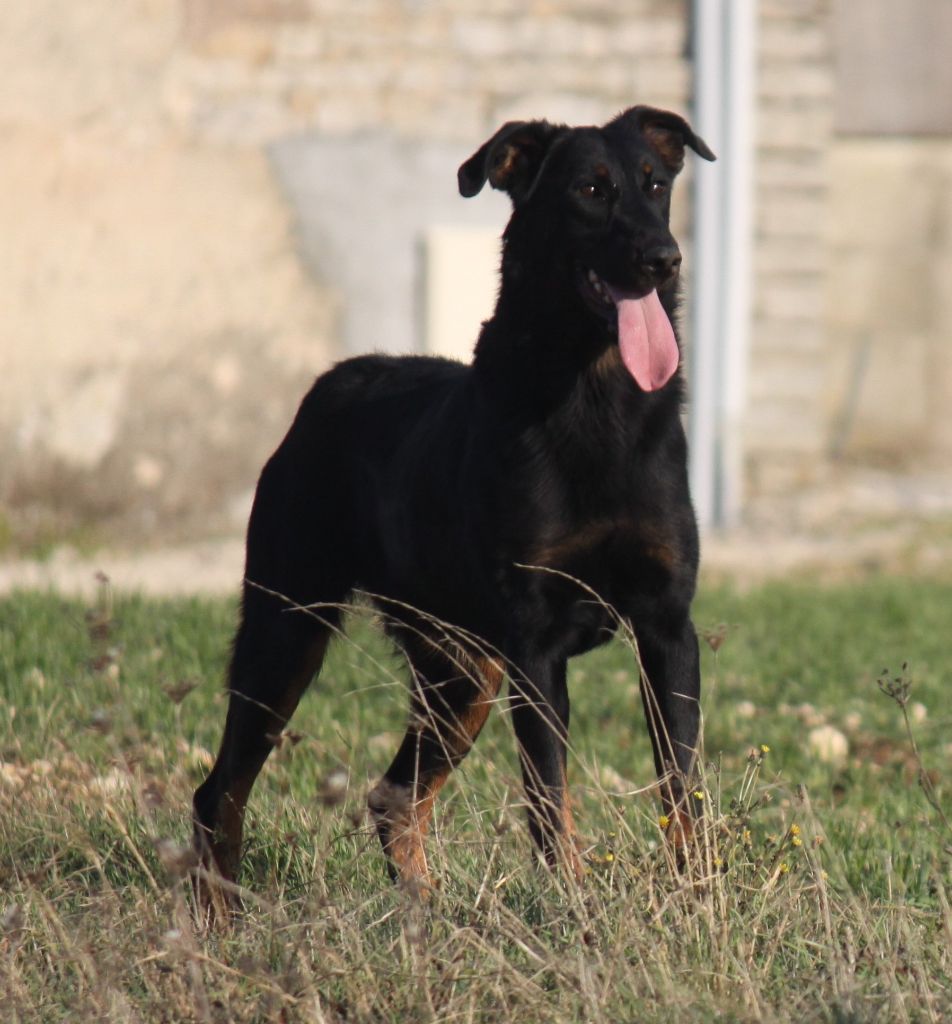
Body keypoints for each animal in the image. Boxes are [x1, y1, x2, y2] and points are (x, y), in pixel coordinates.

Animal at [192, 101, 712, 888]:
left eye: (656, 185)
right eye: (590, 190)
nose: (665, 257)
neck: (595, 392)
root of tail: (326, 387)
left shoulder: (667, 627)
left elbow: (681, 788)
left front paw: (693, 896)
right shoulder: (536, 643)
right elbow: (550, 800)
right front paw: (575, 904)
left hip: (461, 666)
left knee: (394, 797)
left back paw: (421, 907)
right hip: (288, 626)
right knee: (220, 791)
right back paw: (223, 908)